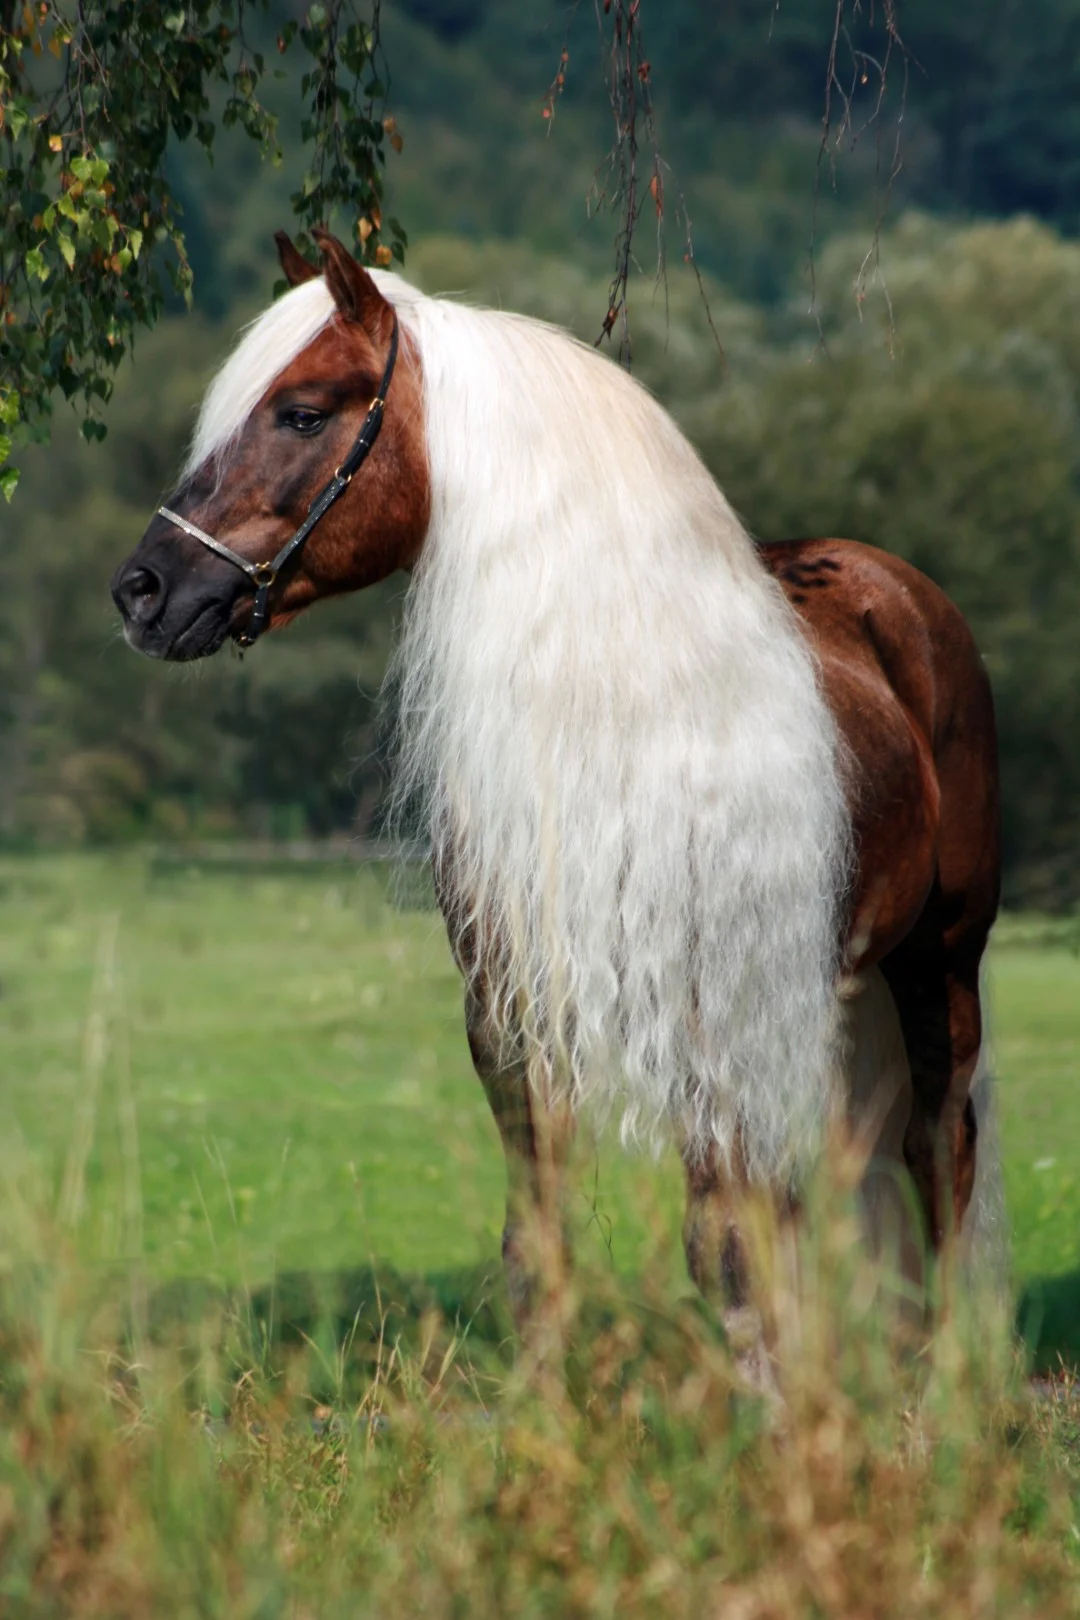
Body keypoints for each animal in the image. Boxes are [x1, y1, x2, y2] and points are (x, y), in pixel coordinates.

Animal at [111, 230, 1001, 1351]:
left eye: (304, 411)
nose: (141, 592)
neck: (612, 717)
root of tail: (903, 595)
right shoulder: (511, 1022)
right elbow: (539, 1250)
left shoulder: (710, 1018)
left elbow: (727, 1249)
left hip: (942, 958)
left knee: (939, 1149)